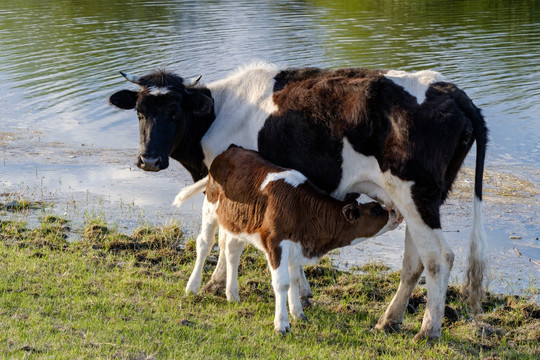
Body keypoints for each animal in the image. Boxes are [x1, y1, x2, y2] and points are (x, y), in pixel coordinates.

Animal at [172, 145, 396, 334]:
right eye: (376, 210)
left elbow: (295, 279)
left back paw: (232, 295)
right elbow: (282, 283)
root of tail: (232, 149)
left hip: (237, 221)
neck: (303, 208)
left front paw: (298, 313)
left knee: (232, 251)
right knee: (205, 244)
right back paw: (192, 287)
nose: (395, 212)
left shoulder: (295, 246)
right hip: (210, 207)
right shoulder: (275, 243)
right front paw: (282, 324)